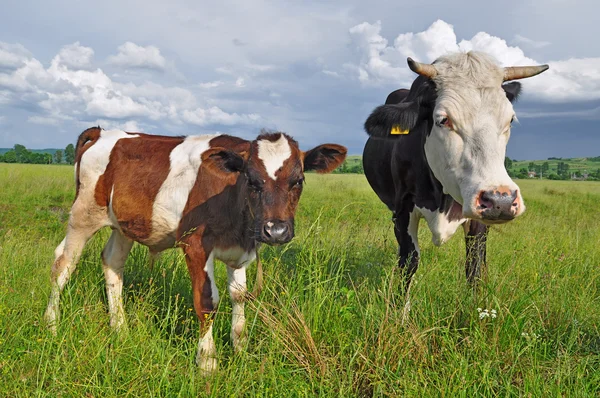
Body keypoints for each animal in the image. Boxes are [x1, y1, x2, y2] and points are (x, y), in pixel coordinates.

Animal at [44, 127, 346, 374]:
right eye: (251, 180)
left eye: (299, 181)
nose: (276, 230)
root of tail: (103, 131)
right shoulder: (196, 245)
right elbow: (207, 302)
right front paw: (208, 364)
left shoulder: (241, 252)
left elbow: (240, 297)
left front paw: (240, 350)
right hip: (84, 214)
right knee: (63, 264)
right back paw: (51, 325)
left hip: (123, 225)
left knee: (112, 263)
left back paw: (120, 329)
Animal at [360, 51, 548, 296]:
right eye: (444, 120)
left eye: (510, 120)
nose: (502, 201)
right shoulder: (402, 210)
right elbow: (409, 261)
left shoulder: (479, 219)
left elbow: (474, 265)